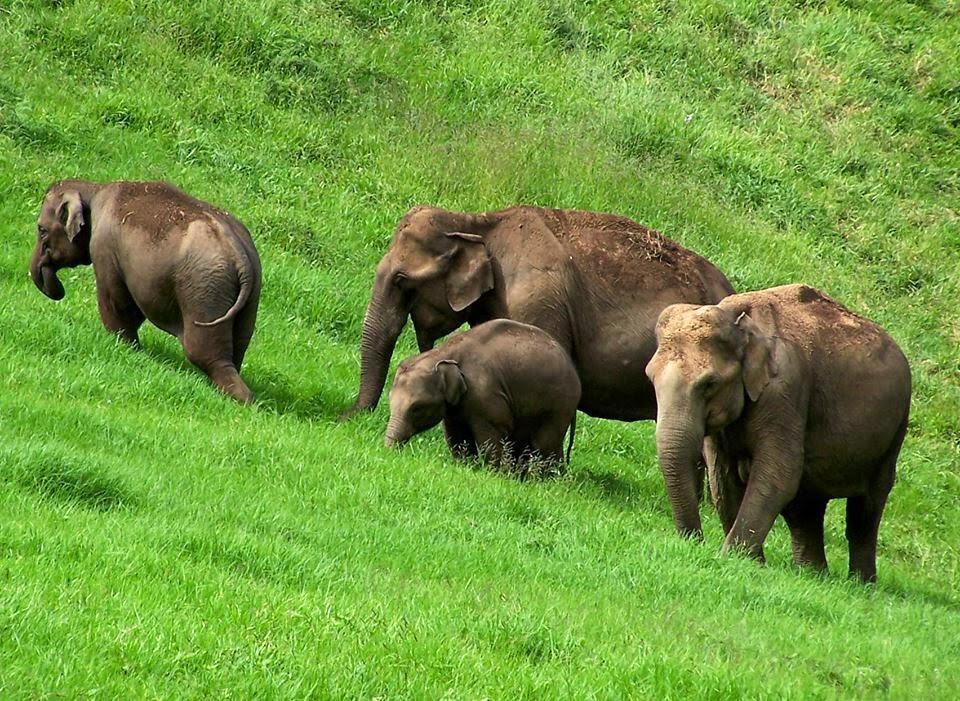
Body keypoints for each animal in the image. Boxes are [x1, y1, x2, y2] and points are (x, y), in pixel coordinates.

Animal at [30, 178, 262, 402]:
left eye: (41, 230)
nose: (57, 290)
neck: (95, 189)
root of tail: (239, 255)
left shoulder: (104, 249)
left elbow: (117, 304)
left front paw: (124, 346)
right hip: (248, 296)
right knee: (237, 349)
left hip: (204, 291)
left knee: (205, 354)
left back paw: (241, 400)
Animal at [384, 318, 580, 470]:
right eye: (390, 401)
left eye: (417, 407)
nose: (390, 454)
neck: (444, 353)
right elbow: (457, 438)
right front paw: (466, 467)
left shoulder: (485, 396)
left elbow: (489, 440)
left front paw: (492, 473)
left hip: (560, 405)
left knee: (545, 445)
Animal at [644, 282, 908, 584]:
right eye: (650, 377)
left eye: (709, 383)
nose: (695, 541)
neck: (738, 319)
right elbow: (722, 477)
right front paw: (752, 563)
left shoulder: (784, 390)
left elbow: (778, 473)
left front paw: (734, 559)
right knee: (806, 509)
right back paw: (812, 575)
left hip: (894, 433)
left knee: (865, 511)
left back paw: (860, 585)